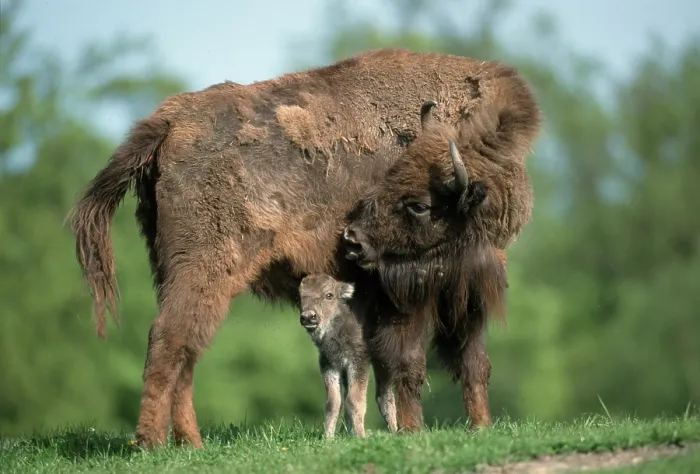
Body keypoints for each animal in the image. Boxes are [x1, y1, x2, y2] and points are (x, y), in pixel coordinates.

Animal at [69, 47, 541, 450]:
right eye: (399, 190)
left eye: (418, 203)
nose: (352, 240)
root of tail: (169, 122)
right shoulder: (402, 301)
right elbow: (407, 367)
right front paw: (412, 432)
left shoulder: (465, 297)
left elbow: (473, 365)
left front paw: (481, 428)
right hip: (205, 270)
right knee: (170, 340)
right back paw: (152, 443)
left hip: (172, 272)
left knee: (186, 348)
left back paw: (191, 443)